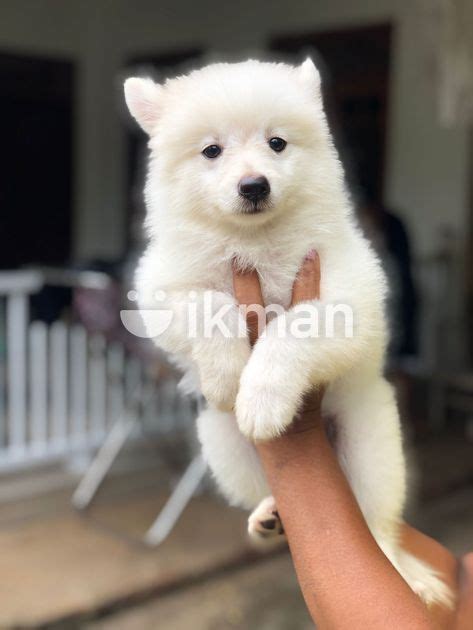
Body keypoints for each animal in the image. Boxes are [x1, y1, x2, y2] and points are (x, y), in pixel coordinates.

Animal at [124, 58, 450, 608]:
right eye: (212, 150)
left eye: (277, 143)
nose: (254, 185)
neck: (256, 241)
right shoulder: (162, 286)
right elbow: (207, 306)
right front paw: (227, 376)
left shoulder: (346, 295)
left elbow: (293, 329)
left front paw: (262, 399)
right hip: (221, 444)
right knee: (265, 488)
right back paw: (269, 515)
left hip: (372, 443)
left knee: (377, 524)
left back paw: (406, 573)